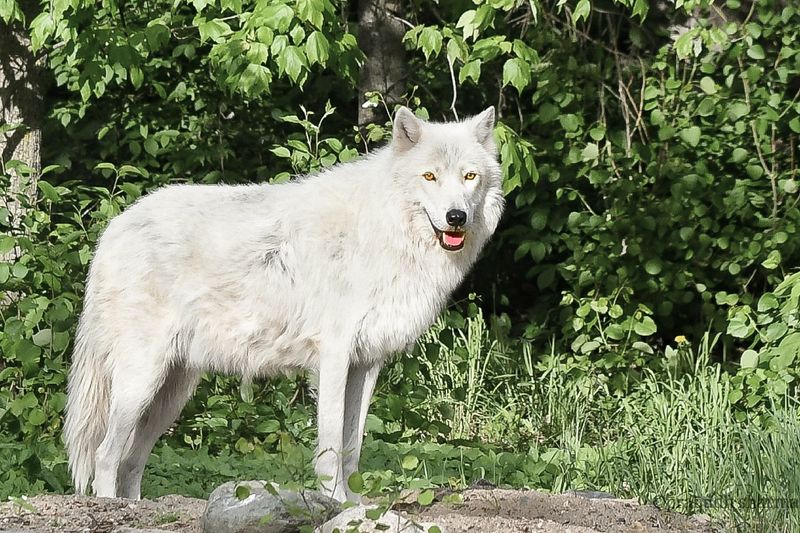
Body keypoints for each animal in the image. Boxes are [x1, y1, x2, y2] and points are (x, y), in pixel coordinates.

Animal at [63, 106, 504, 502]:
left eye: (469, 176)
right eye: (429, 176)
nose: (456, 216)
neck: (385, 229)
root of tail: (114, 229)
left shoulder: (366, 365)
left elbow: (353, 448)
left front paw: (355, 505)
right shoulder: (334, 358)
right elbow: (331, 447)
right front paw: (336, 501)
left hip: (170, 393)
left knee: (131, 460)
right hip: (141, 382)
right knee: (105, 454)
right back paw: (109, 505)